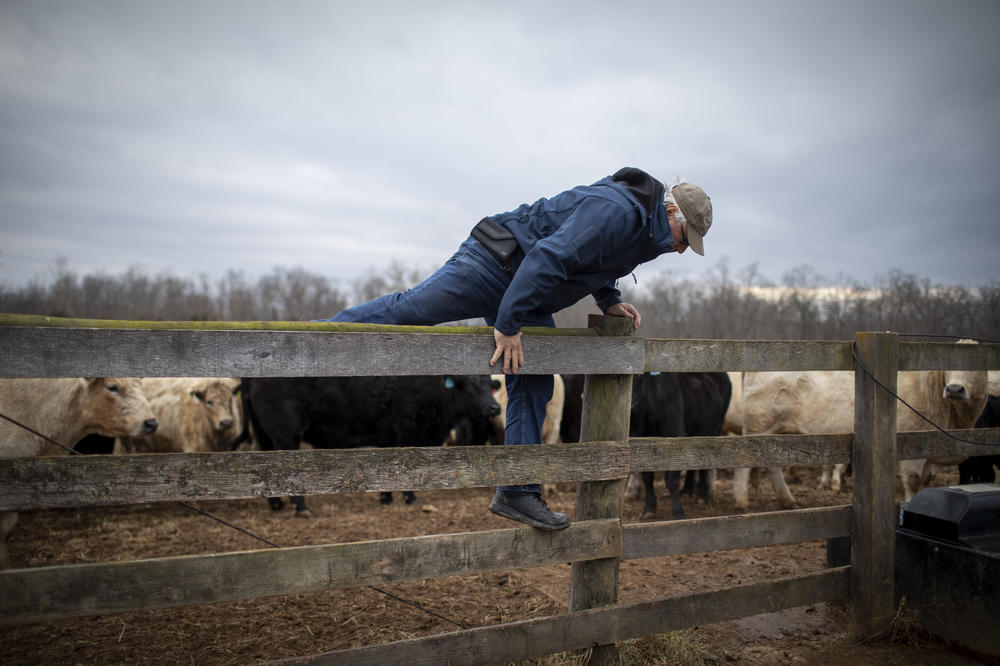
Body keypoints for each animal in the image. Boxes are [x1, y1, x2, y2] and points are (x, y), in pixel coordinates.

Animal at [242, 374, 500, 512]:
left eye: (489, 384)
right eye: (469, 385)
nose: (495, 407)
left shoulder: (389, 437)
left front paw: (386, 498)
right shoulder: (407, 433)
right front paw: (410, 498)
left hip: (264, 434)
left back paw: (276, 505)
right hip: (285, 435)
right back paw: (301, 508)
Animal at [560, 368, 732, 520]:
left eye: (639, 377)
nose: (631, 405)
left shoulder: (675, 437)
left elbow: (671, 480)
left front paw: (678, 513)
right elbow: (647, 478)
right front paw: (649, 509)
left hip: (714, 430)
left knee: (705, 465)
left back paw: (702, 495)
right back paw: (687, 490)